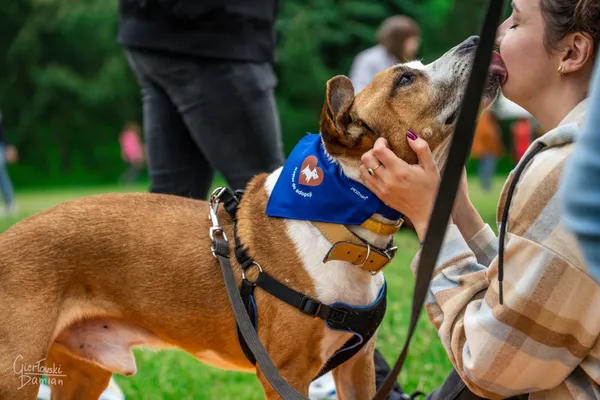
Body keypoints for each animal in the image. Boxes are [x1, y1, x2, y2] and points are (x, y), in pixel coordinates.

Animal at [0, 36, 506, 398]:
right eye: (404, 79)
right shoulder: (284, 376)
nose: (478, 39)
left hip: (82, 374)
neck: (341, 226)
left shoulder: (357, 368)